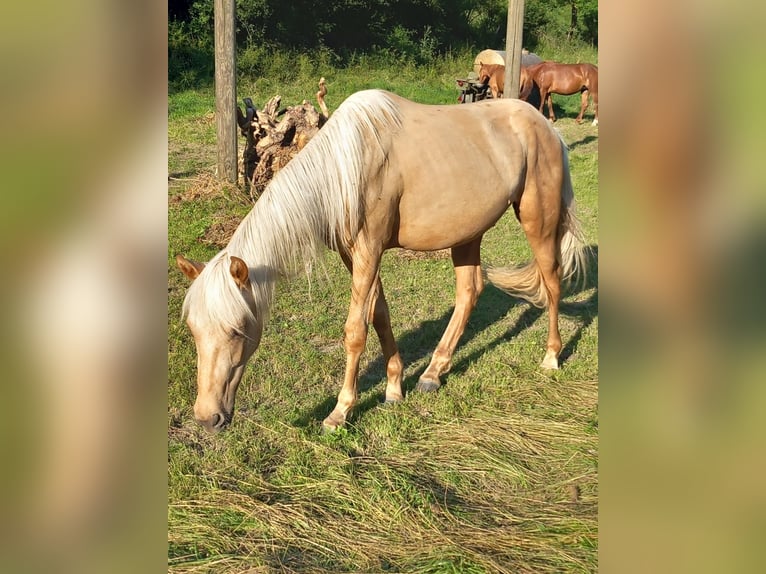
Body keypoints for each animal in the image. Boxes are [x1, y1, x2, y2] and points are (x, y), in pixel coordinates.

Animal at [176, 89, 588, 432]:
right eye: (194, 331)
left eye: (236, 330)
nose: (207, 418)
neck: (346, 168)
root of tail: (547, 128)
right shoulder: (355, 255)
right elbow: (380, 315)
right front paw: (393, 387)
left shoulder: (369, 250)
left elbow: (355, 331)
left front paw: (340, 411)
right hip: (467, 234)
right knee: (470, 291)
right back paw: (433, 373)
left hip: (538, 220)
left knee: (552, 282)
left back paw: (551, 357)